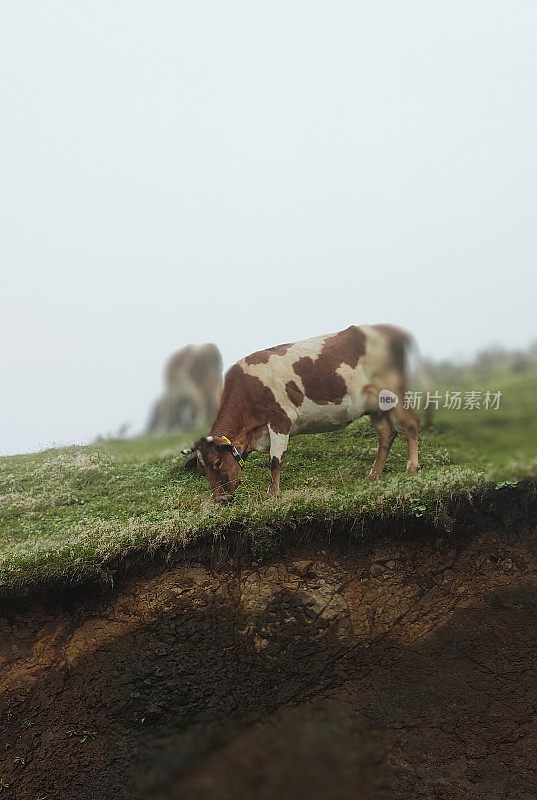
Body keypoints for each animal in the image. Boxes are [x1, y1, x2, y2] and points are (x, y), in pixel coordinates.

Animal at [182, 324, 420, 500]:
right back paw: (373, 475)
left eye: (218, 463)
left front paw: (272, 494)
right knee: (387, 434)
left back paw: (411, 467)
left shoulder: (280, 418)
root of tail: (391, 331)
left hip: (393, 391)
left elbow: (275, 460)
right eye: (202, 470)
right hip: (375, 405)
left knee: (410, 424)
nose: (219, 500)